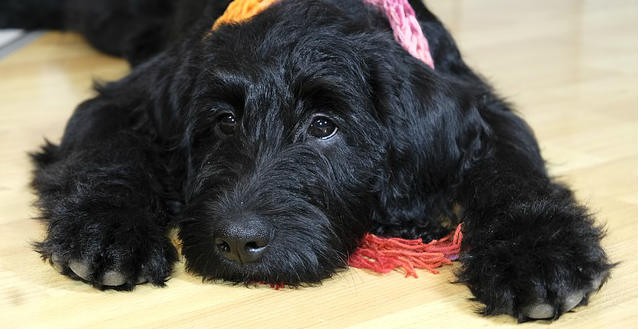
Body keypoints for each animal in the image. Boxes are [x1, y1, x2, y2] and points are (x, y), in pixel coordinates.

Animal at [0, 0, 616, 320]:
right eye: (224, 122)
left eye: (324, 126)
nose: (237, 242)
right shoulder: (125, 100)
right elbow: (111, 154)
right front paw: (108, 230)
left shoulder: (484, 111)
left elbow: (512, 171)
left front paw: (538, 252)